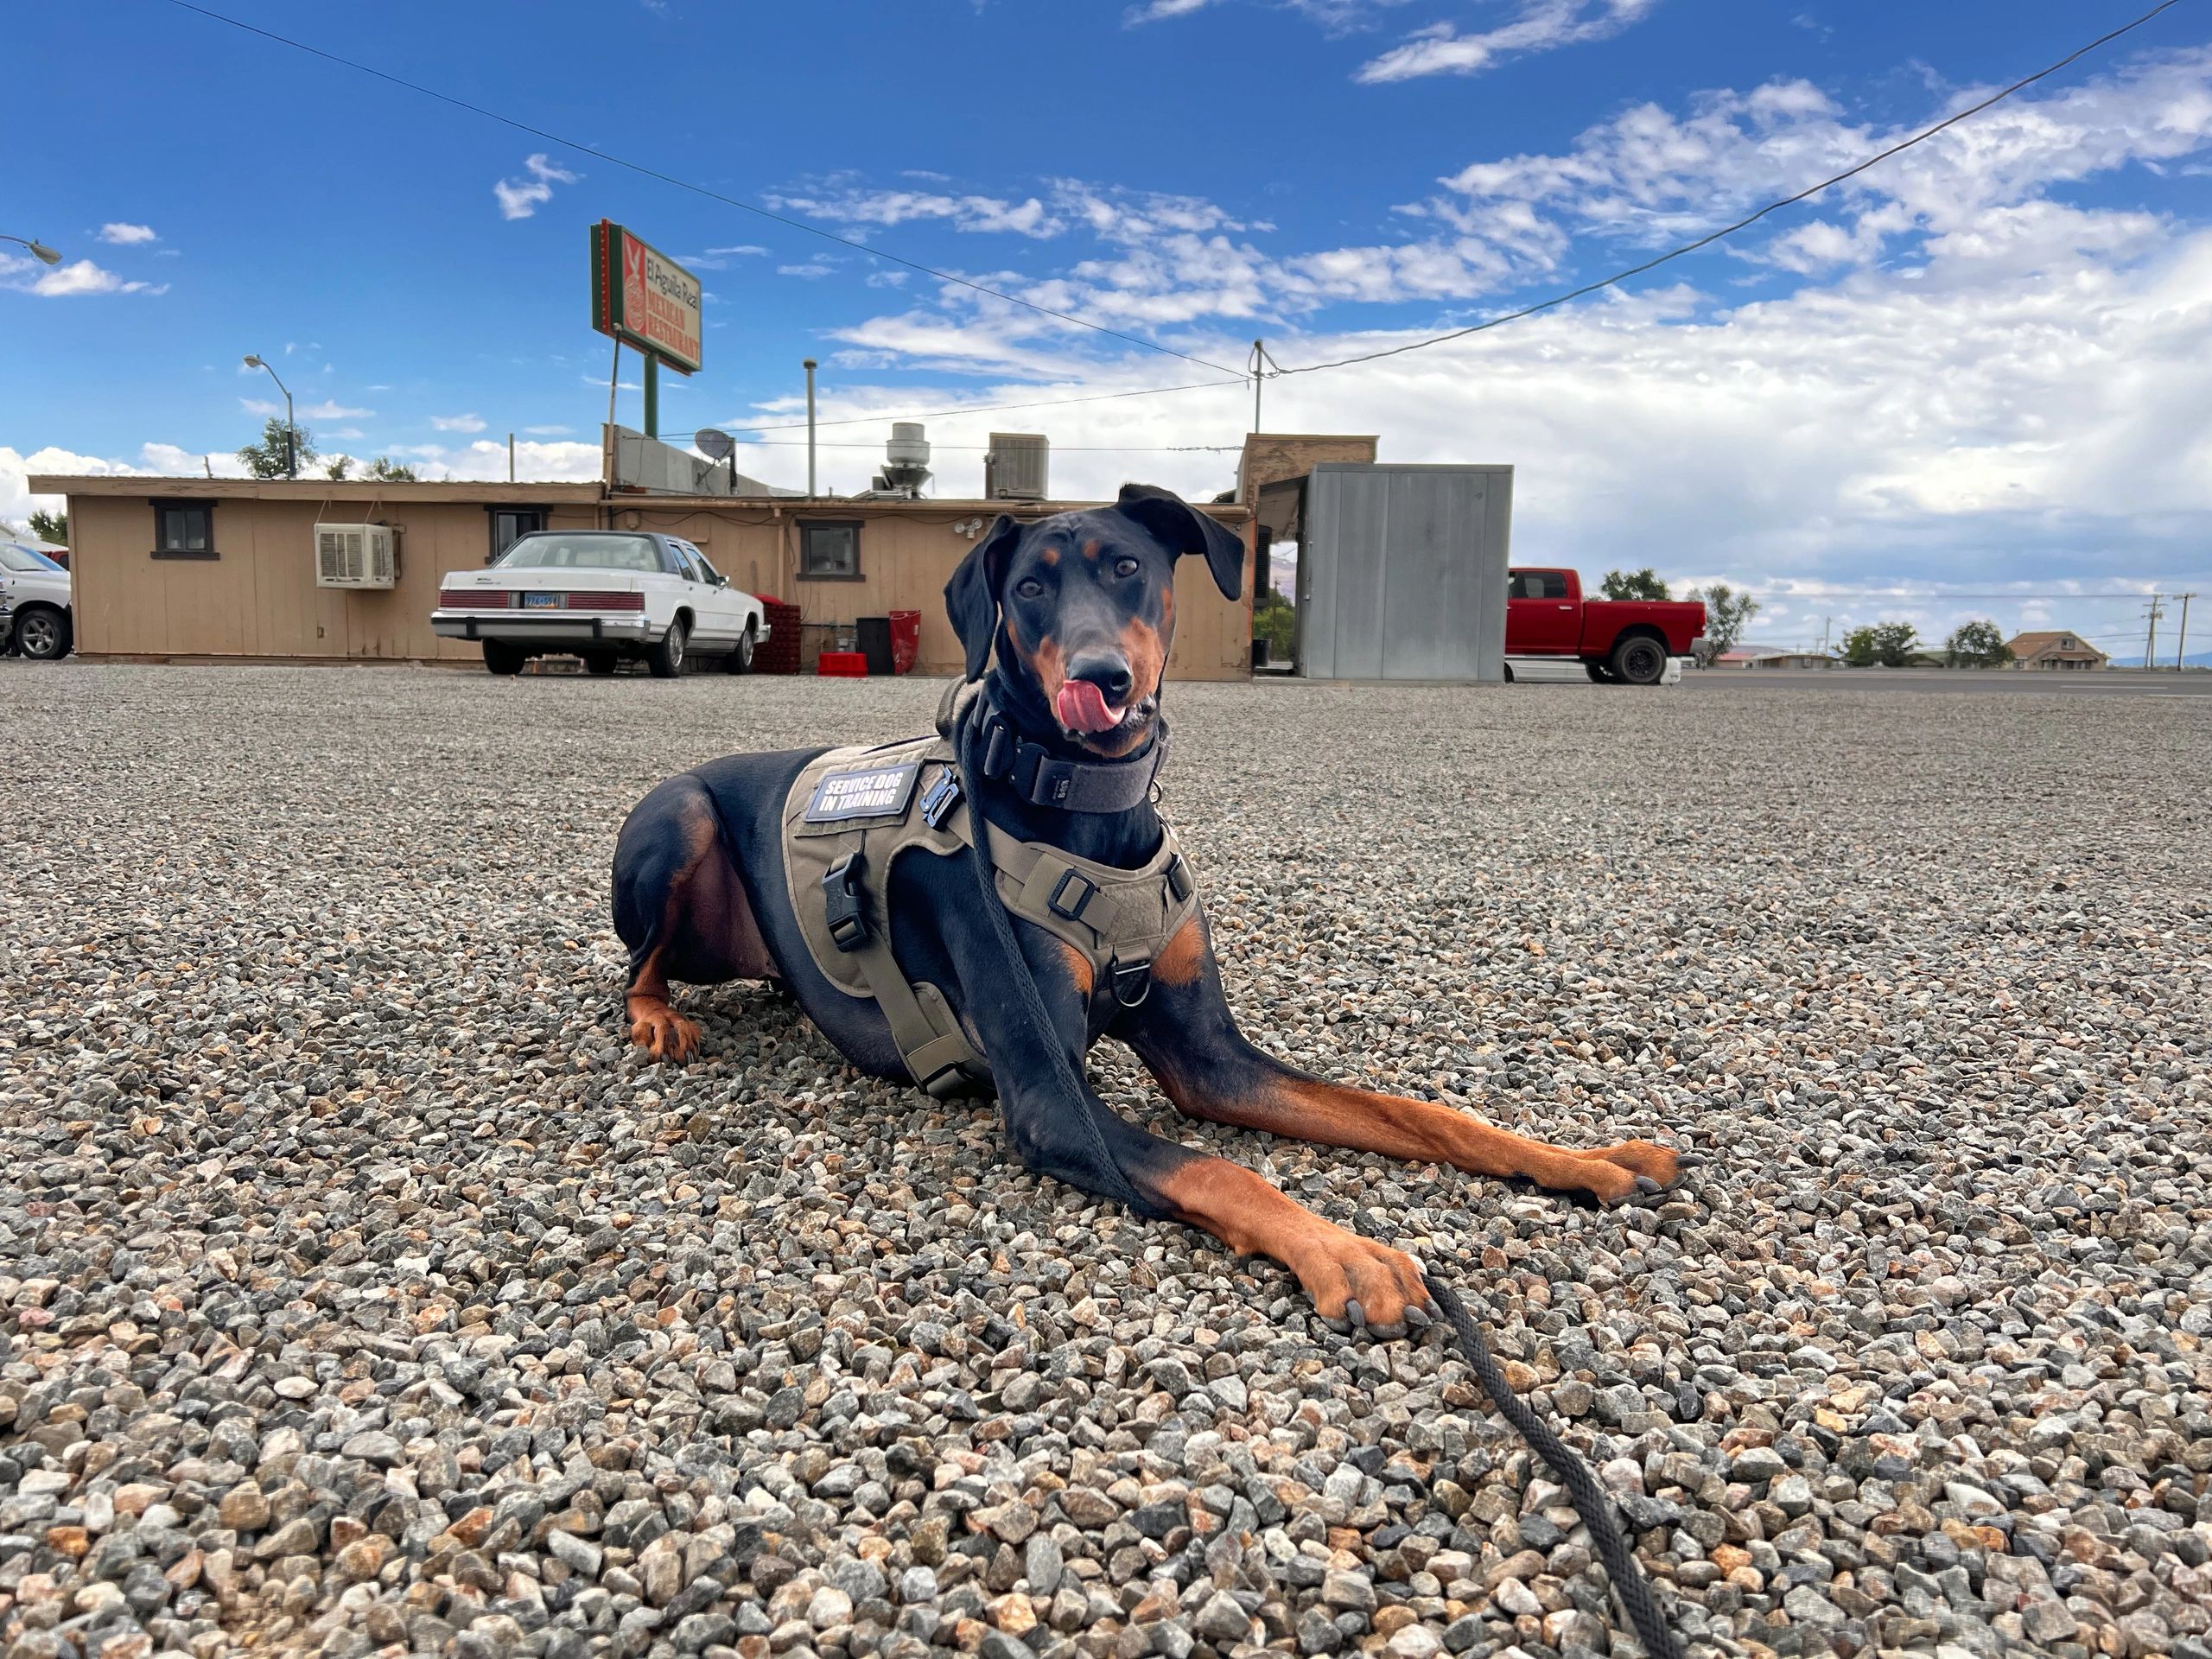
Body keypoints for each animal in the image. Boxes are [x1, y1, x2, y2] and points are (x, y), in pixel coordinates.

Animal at [610, 484, 1672, 1336]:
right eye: (1029, 589)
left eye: (1128, 568)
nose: (1100, 678)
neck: (1088, 805)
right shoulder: (1050, 1098)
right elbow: (1220, 1169)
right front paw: (1347, 1251)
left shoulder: (1211, 1058)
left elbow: (1410, 1110)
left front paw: (1581, 1158)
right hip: (679, 816)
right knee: (638, 964)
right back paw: (658, 1019)